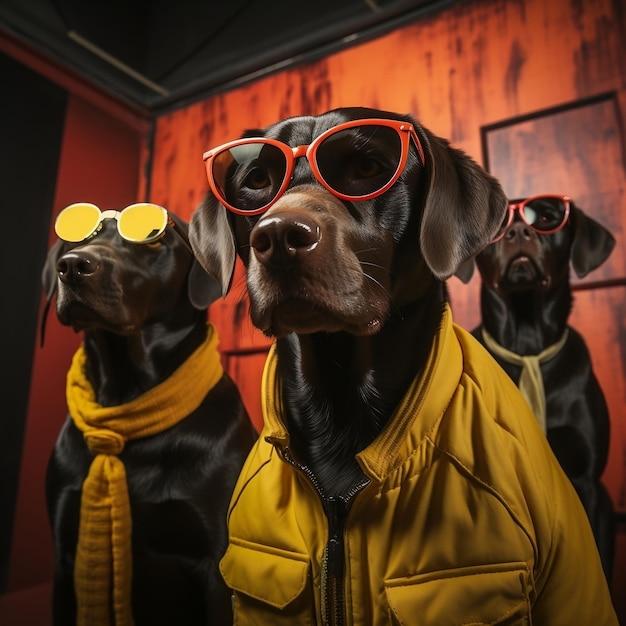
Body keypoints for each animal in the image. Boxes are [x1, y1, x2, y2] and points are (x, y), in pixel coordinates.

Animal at [40, 204, 256, 624]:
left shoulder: (217, 567)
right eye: (77, 235)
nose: (73, 266)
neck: (127, 396)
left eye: (154, 238)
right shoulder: (64, 558)